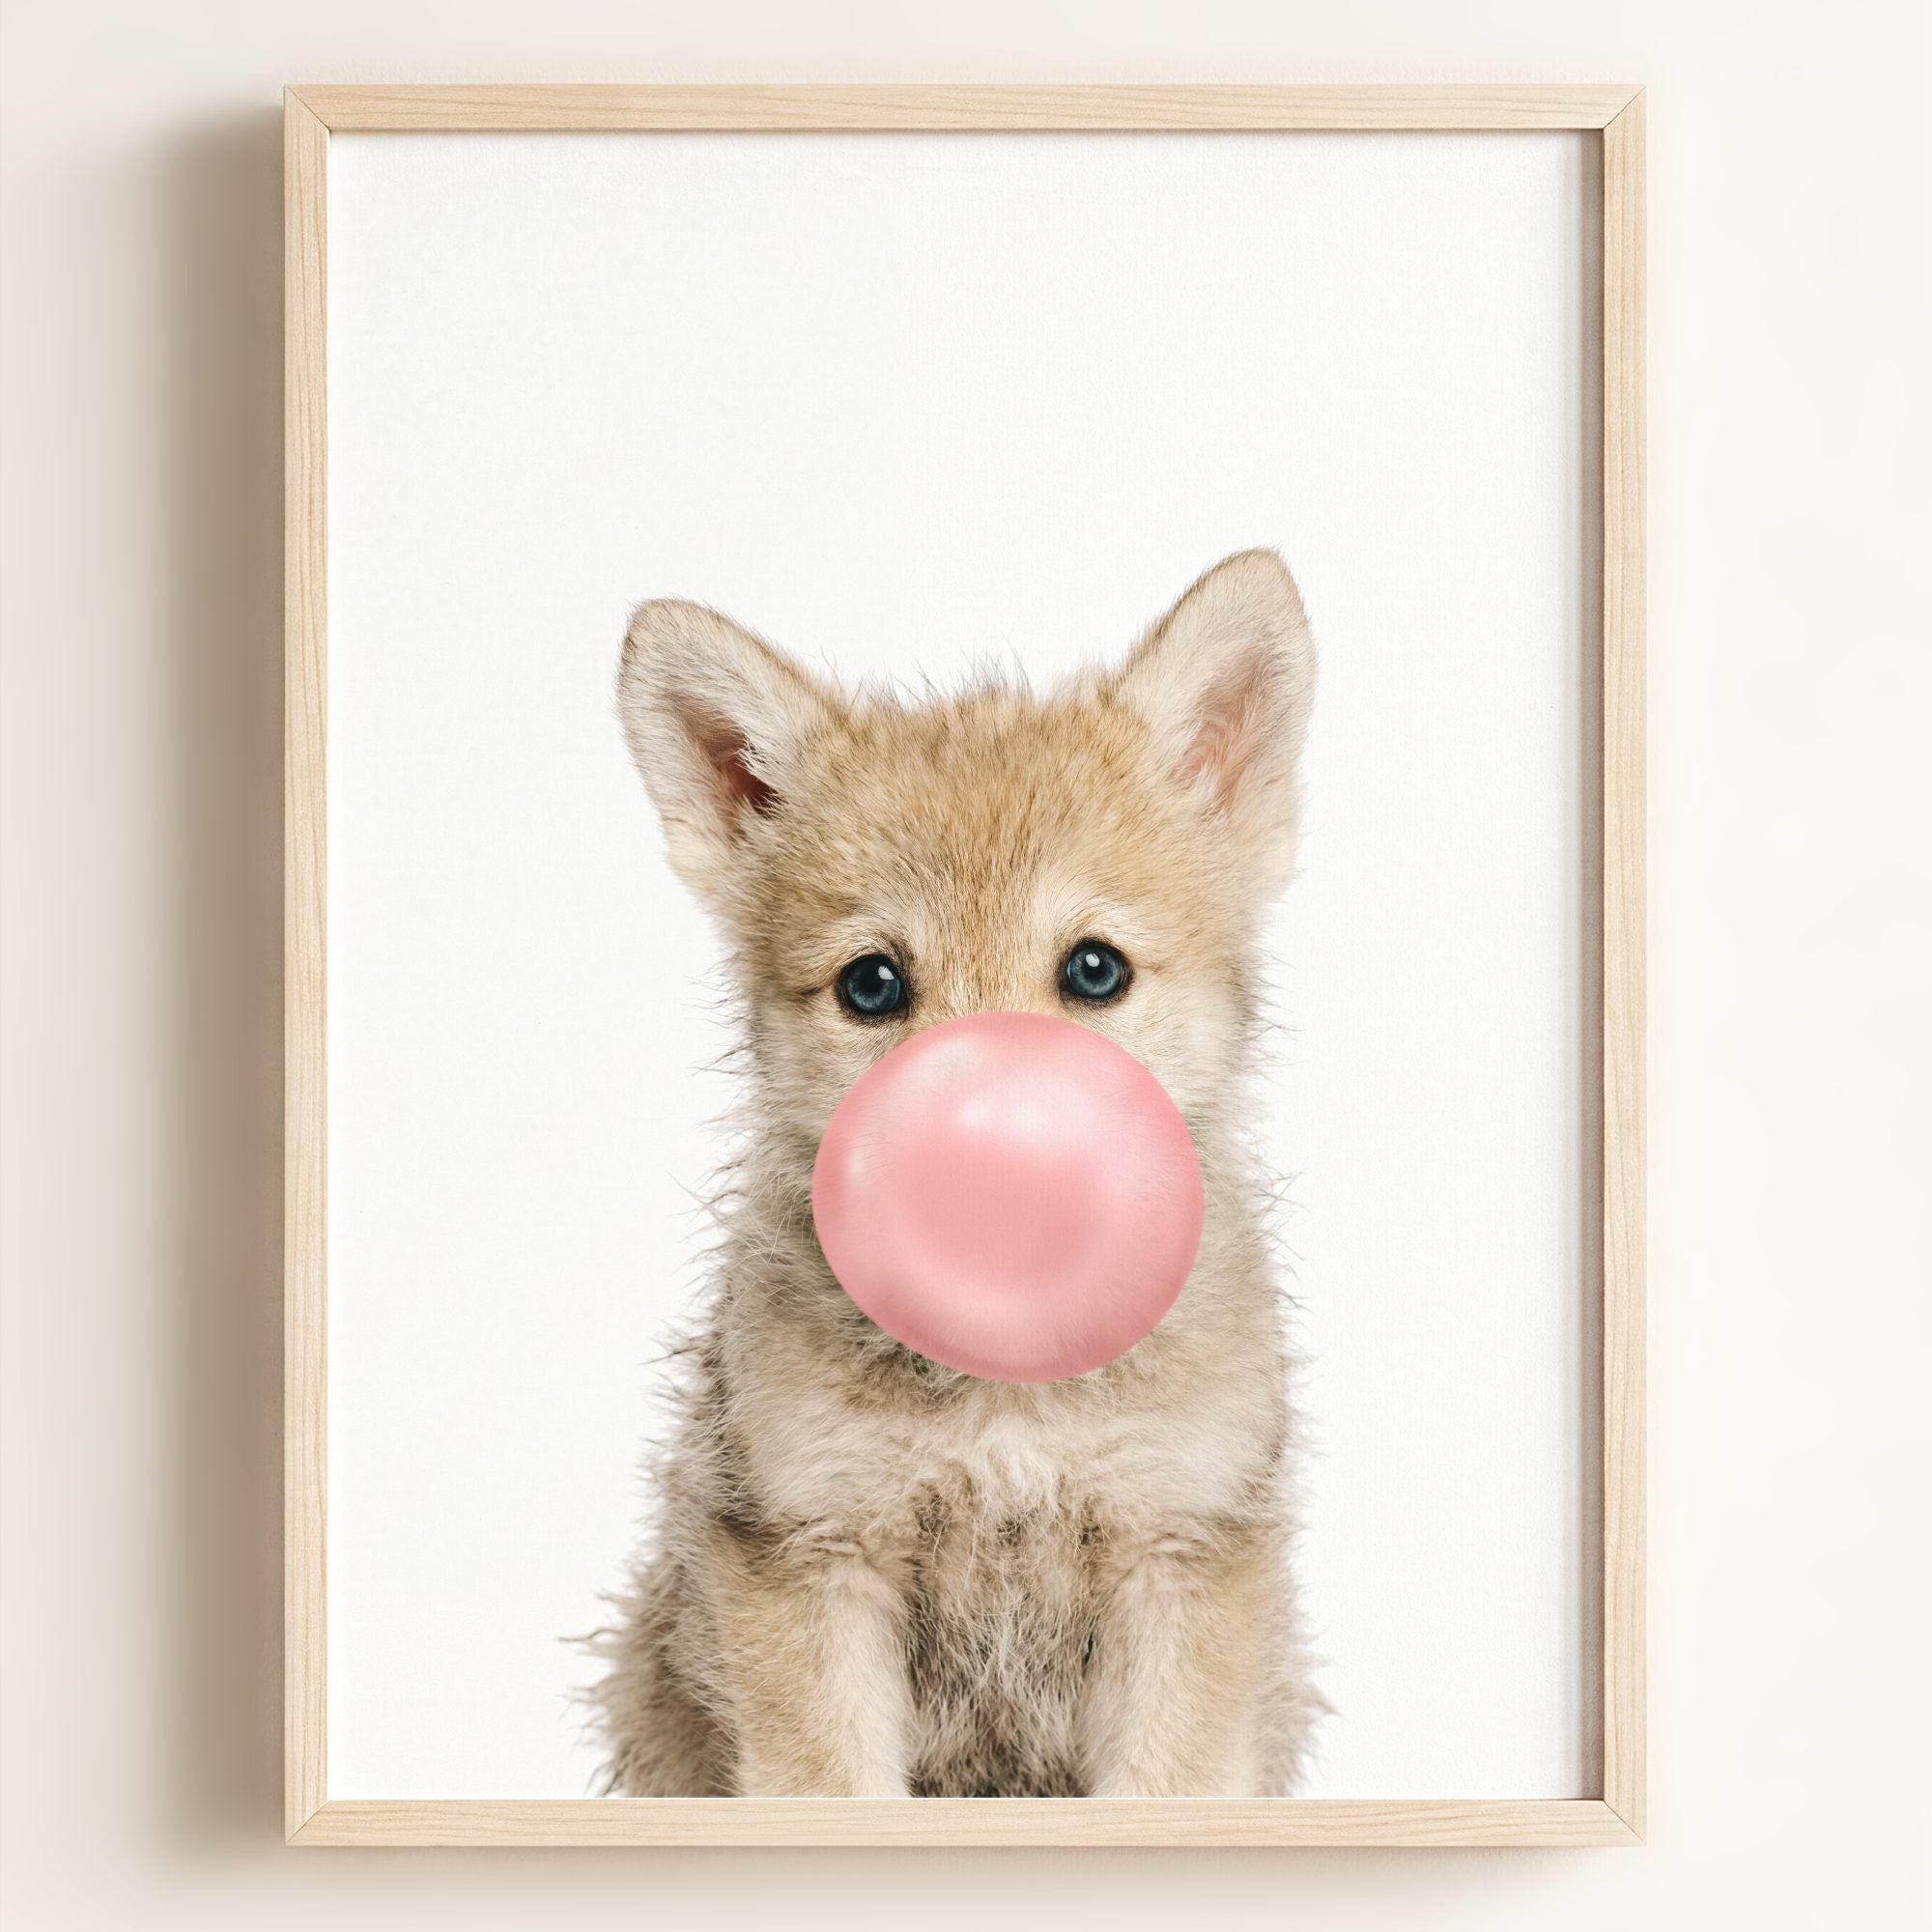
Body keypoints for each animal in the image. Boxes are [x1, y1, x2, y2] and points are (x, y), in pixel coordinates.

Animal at [591, 549, 1321, 1798]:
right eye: (872, 984)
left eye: (1093, 969)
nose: (983, 1158)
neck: (1006, 1391)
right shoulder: (811, 1554)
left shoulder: (1178, 1550)